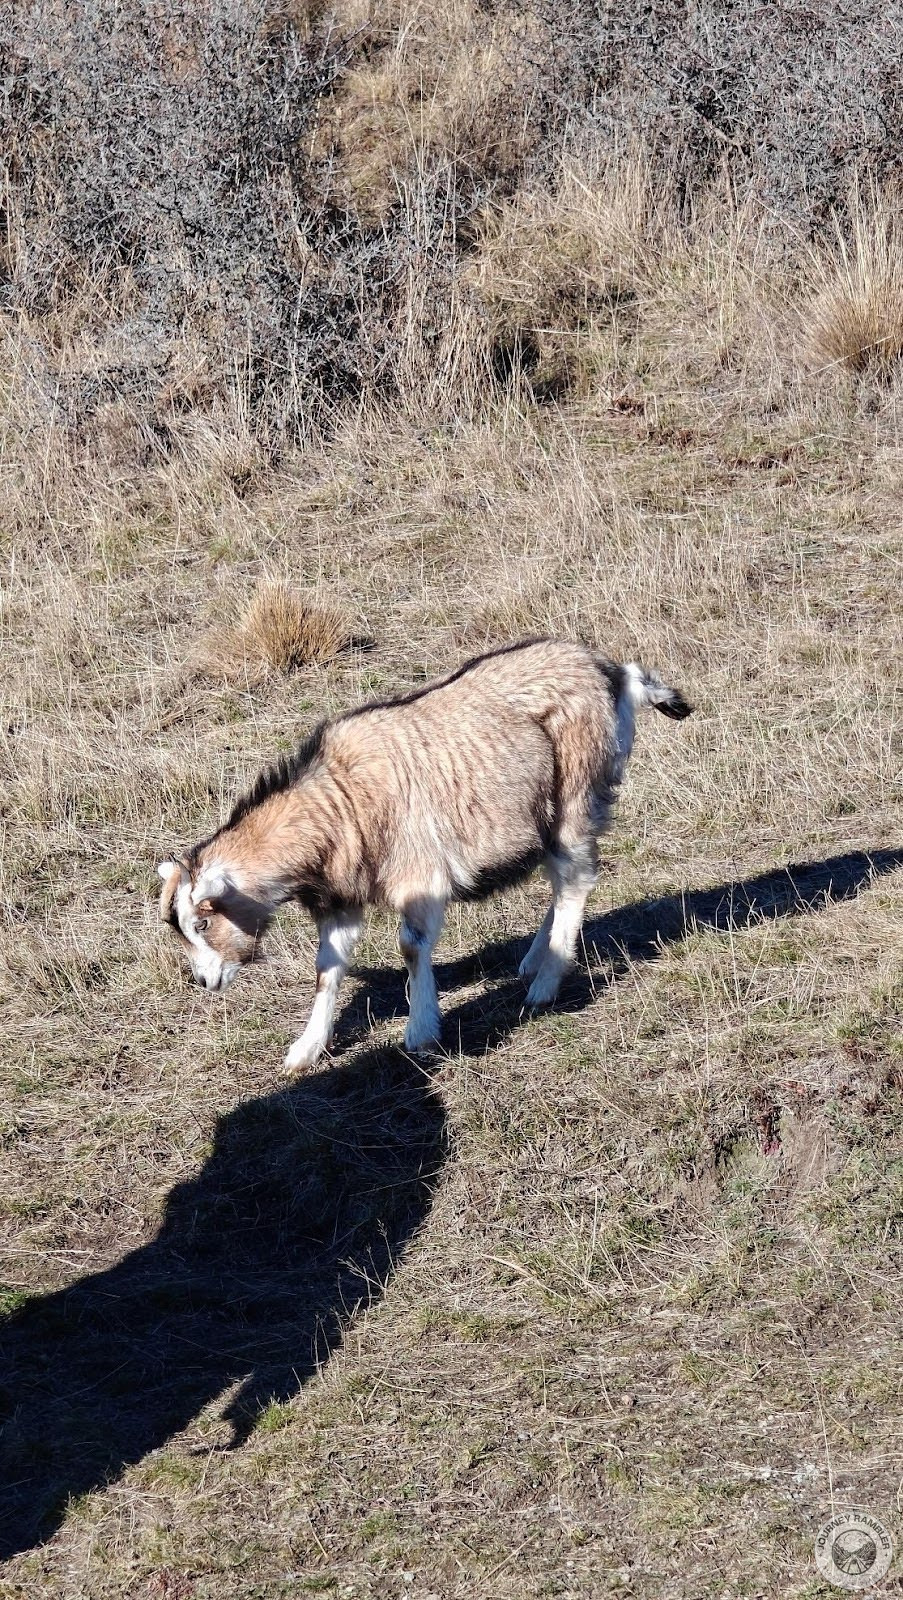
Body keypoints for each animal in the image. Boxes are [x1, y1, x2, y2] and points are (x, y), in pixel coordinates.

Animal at [157, 638, 692, 1070]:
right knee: (559, 881)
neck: (341, 797)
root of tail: (613, 671)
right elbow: (327, 967)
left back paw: (544, 985)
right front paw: (305, 1050)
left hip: (577, 794)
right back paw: (534, 960)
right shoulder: (342, 897)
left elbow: (412, 948)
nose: (204, 981)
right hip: (539, 814)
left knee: (576, 877)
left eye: (202, 921)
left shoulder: (420, 878)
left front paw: (421, 1032)